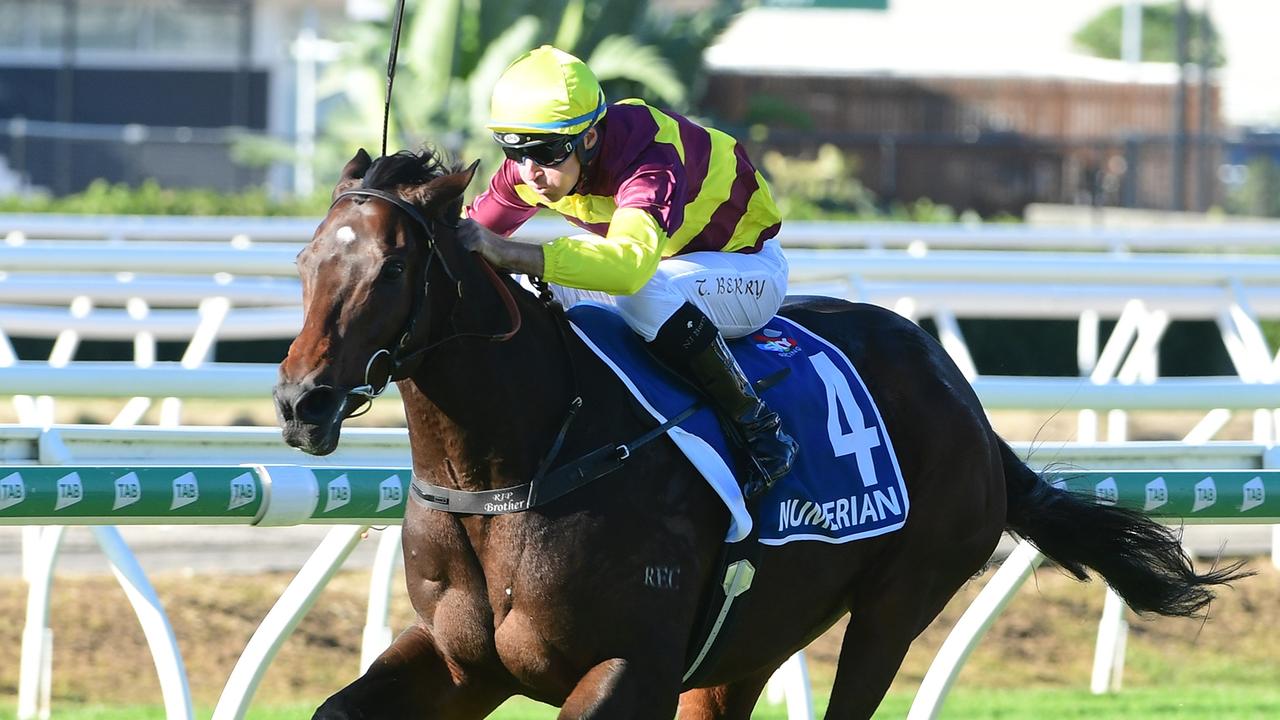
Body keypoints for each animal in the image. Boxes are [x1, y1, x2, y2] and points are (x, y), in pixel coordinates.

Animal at [275, 148, 1244, 712]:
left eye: (392, 268)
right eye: (306, 259)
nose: (299, 403)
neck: (508, 470)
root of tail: (958, 393)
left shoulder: (628, 667)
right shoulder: (463, 662)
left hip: (900, 599)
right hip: (756, 636)